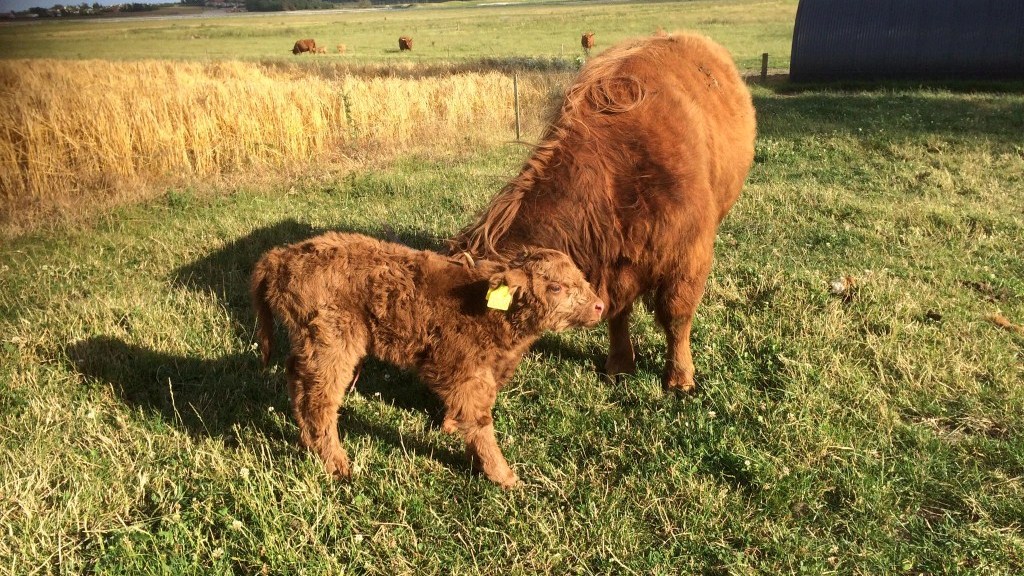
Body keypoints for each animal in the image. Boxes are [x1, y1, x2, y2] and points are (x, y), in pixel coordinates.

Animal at [251, 233, 605, 488]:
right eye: (555, 287)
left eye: (581, 277)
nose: (600, 306)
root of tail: (281, 256)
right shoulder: (464, 370)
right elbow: (479, 420)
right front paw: (503, 476)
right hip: (333, 340)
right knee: (320, 399)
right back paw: (338, 465)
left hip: (309, 341)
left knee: (297, 379)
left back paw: (306, 443)